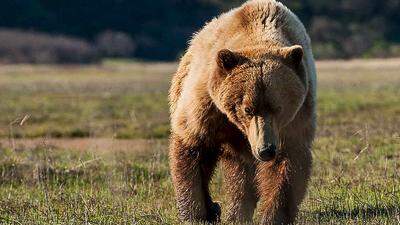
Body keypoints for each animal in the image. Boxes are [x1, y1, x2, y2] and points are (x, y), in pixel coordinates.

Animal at [168, 0, 316, 224]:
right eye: (247, 108)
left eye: (278, 107)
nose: (266, 150)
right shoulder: (208, 104)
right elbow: (193, 147)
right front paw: (196, 213)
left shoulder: (296, 116)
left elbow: (288, 163)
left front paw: (273, 216)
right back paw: (219, 209)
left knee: (240, 172)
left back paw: (236, 211)